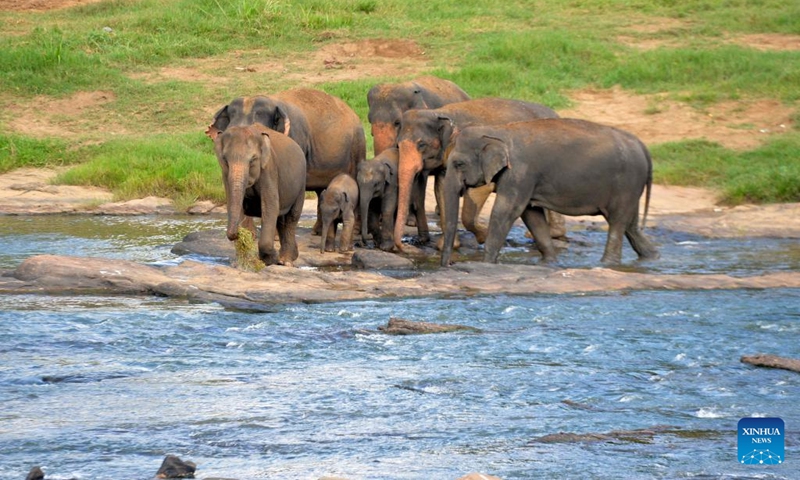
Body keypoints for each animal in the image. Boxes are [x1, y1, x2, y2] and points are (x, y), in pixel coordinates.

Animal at [206, 88, 368, 236]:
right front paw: (249, 235)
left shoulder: (296, 140)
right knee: (322, 190)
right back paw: (317, 232)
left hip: (357, 146)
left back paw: (354, 232)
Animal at [212, 124, 306, 266]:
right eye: (225, 161)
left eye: (253, 160)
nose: (235, 234)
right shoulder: (225, 175)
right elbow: (235, 205)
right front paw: (244, 261)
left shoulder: (269, 170)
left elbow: (270, 206)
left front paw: (270, 259)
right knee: (281, 219)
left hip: (301, 185)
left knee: (291, 217)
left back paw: (285, 261)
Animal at [392, 95, 556, 249]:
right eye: (398, 145)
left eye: (421, 144)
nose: (408, 244)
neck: (440, 112)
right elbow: (443, 187)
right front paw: (447, 246)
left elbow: (480, 190)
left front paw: (483, 236)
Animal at [440, 117, 660, 266]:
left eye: (459, 164)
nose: (449, 264)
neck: (498, 131)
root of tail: (643, 147)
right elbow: (531, 215)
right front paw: (549, 263)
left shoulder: (520, 173)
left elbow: (506, 211)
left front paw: (486, 264)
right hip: (631, 187)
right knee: (631, 225)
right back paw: (652, 258)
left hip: (626, 183)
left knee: (617, 222)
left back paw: (608, 264)